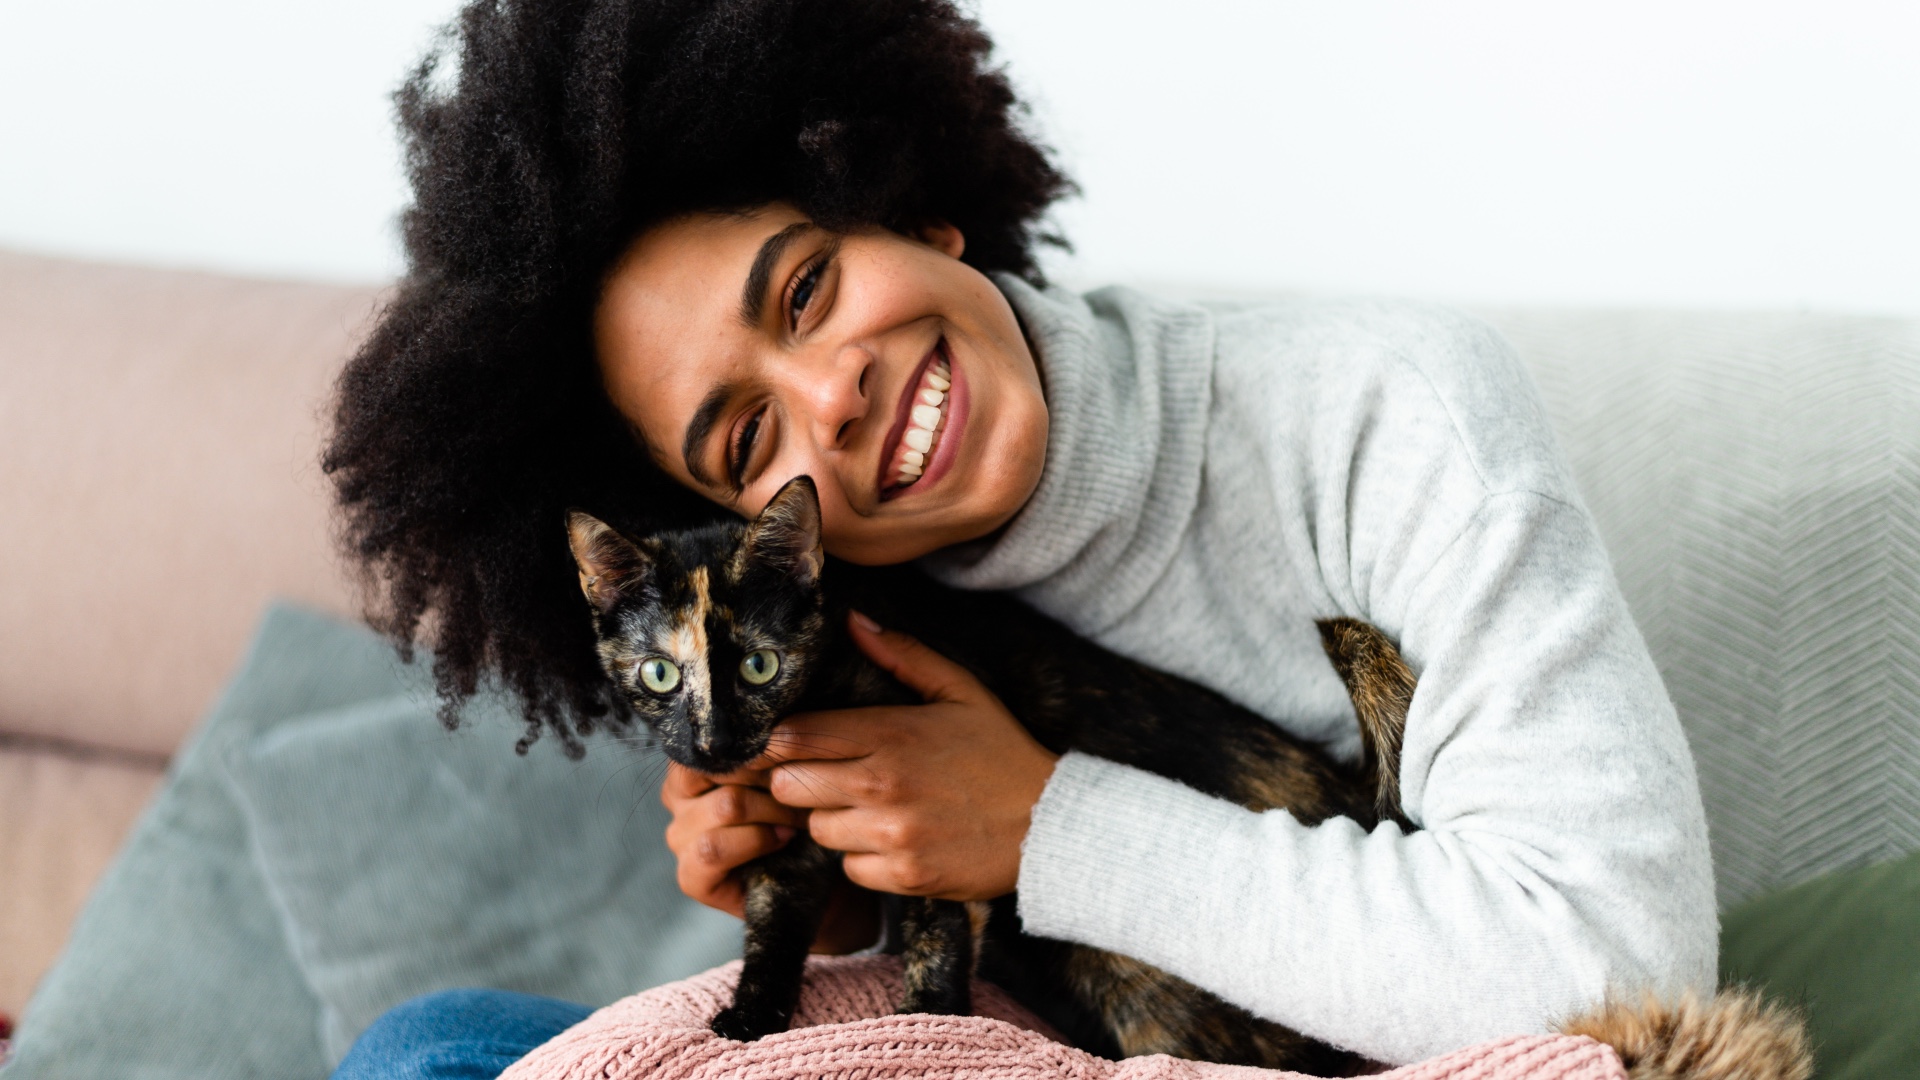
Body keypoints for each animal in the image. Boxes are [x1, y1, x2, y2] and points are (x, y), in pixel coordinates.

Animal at [560, 474, 1420, 1068]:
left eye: (760, 664)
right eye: (659, 674)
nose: (712, 745)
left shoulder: (923, 828)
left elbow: (935, 934)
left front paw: (927, 1022)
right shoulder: (788, 841)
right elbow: (772, 921)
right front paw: (751, 1013)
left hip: (1141, 986)